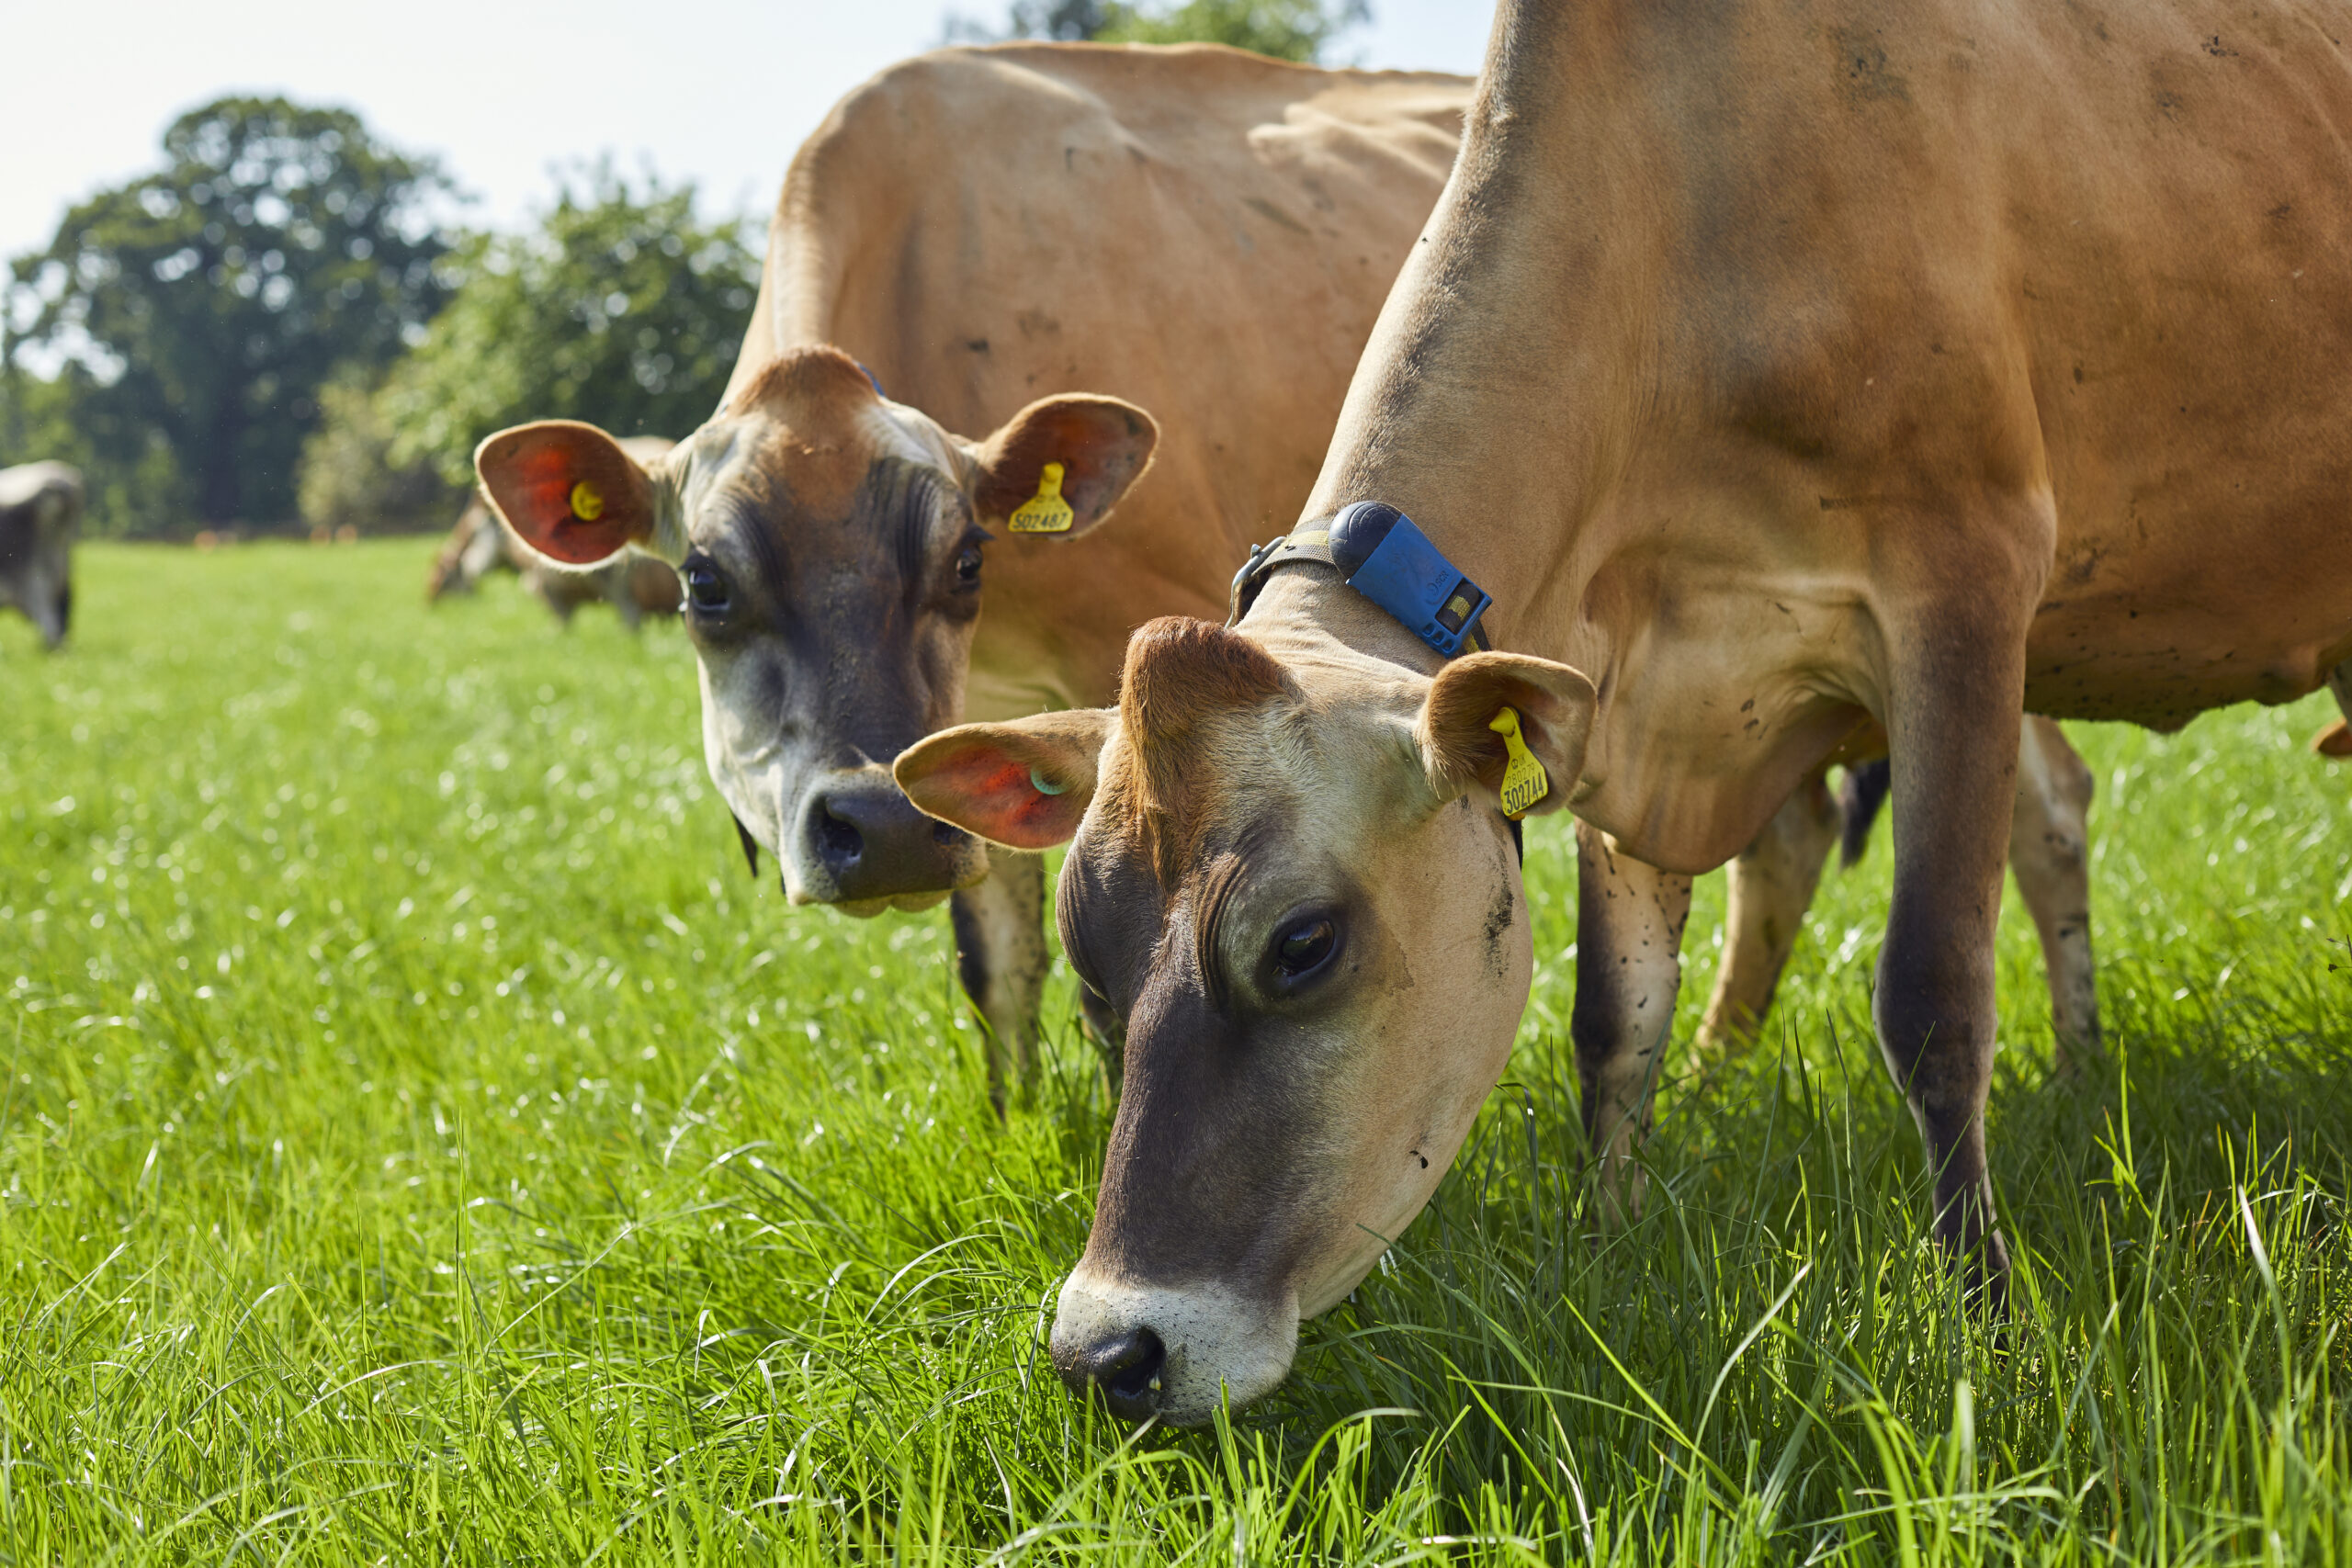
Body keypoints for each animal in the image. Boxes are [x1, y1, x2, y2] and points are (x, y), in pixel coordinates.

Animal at [468, 39, 1467, 1114]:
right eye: (704, 582)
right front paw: (1012, 1115)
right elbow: (996, 960)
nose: (885, 829)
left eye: (967, 558)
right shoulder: (974, 725)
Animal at [893, 0, 2352, 1419]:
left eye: (1302, 942)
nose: (1109, 1353)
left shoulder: (1966, 586)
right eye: (1089, 953)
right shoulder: (1616, 704)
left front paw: (1985, 1318)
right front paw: (1610, 1241)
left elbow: (1933, 993)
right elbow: (1615, 1020)